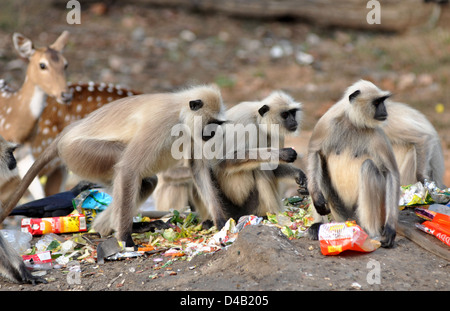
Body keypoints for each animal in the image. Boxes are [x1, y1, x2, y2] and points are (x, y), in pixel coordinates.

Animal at [2, 84, 229, 247]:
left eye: (217, 125)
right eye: (212, 124)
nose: (213, 134)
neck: (180, 111)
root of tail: (66, 134)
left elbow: (197, 168)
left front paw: (220, 222)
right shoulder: (161, 122)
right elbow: (129, 168)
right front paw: (125, 239)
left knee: (146, 182)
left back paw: (106, 228)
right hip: (82, 153)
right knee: (129, 170)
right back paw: (122, 233)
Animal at [306, 80, 400, 249]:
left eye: (382, 101)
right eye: (377, 102)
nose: (384, 111)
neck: (352, 122)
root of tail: (349, 220)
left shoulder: (377, 136)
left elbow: (391, 173)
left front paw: (390, 229)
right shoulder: (326, 123)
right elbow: (314, 153)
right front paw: (316, 199)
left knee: (368, 167)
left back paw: (369, 232)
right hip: (340, 213)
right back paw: (319, 226)